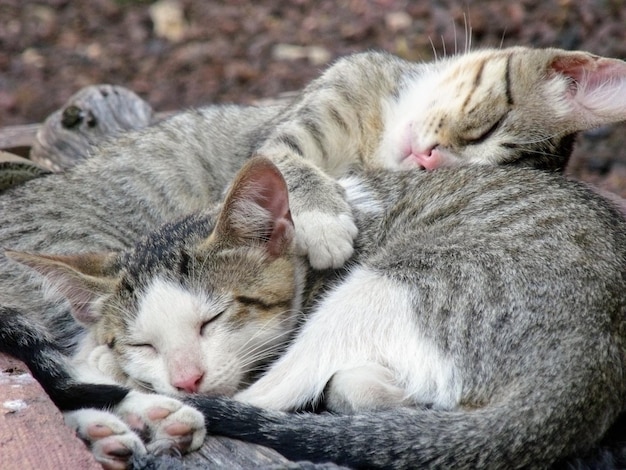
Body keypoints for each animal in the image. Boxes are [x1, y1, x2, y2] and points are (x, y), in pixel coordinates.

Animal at [1, 46, 624, 466]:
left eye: (213, 319)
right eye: (142, 343)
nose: (187, 379)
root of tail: (581, 375)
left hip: (385, 288)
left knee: (266, 397)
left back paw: (154, 414)